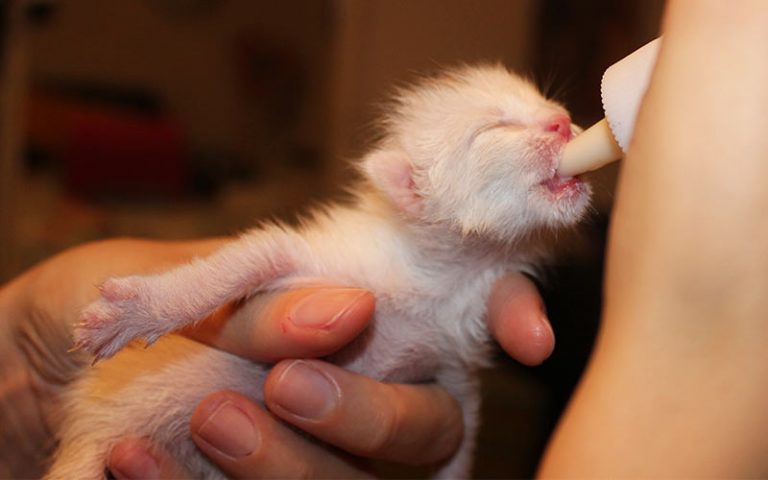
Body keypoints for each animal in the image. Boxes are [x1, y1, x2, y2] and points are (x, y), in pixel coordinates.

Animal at [45, 64, 592, 480]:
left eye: (546, 103)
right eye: (494, 129)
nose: (563, 123)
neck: (449, 274)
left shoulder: (452, 369)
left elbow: (459, 436)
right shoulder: (319, 259)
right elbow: (243, 261)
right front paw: (137, 312)